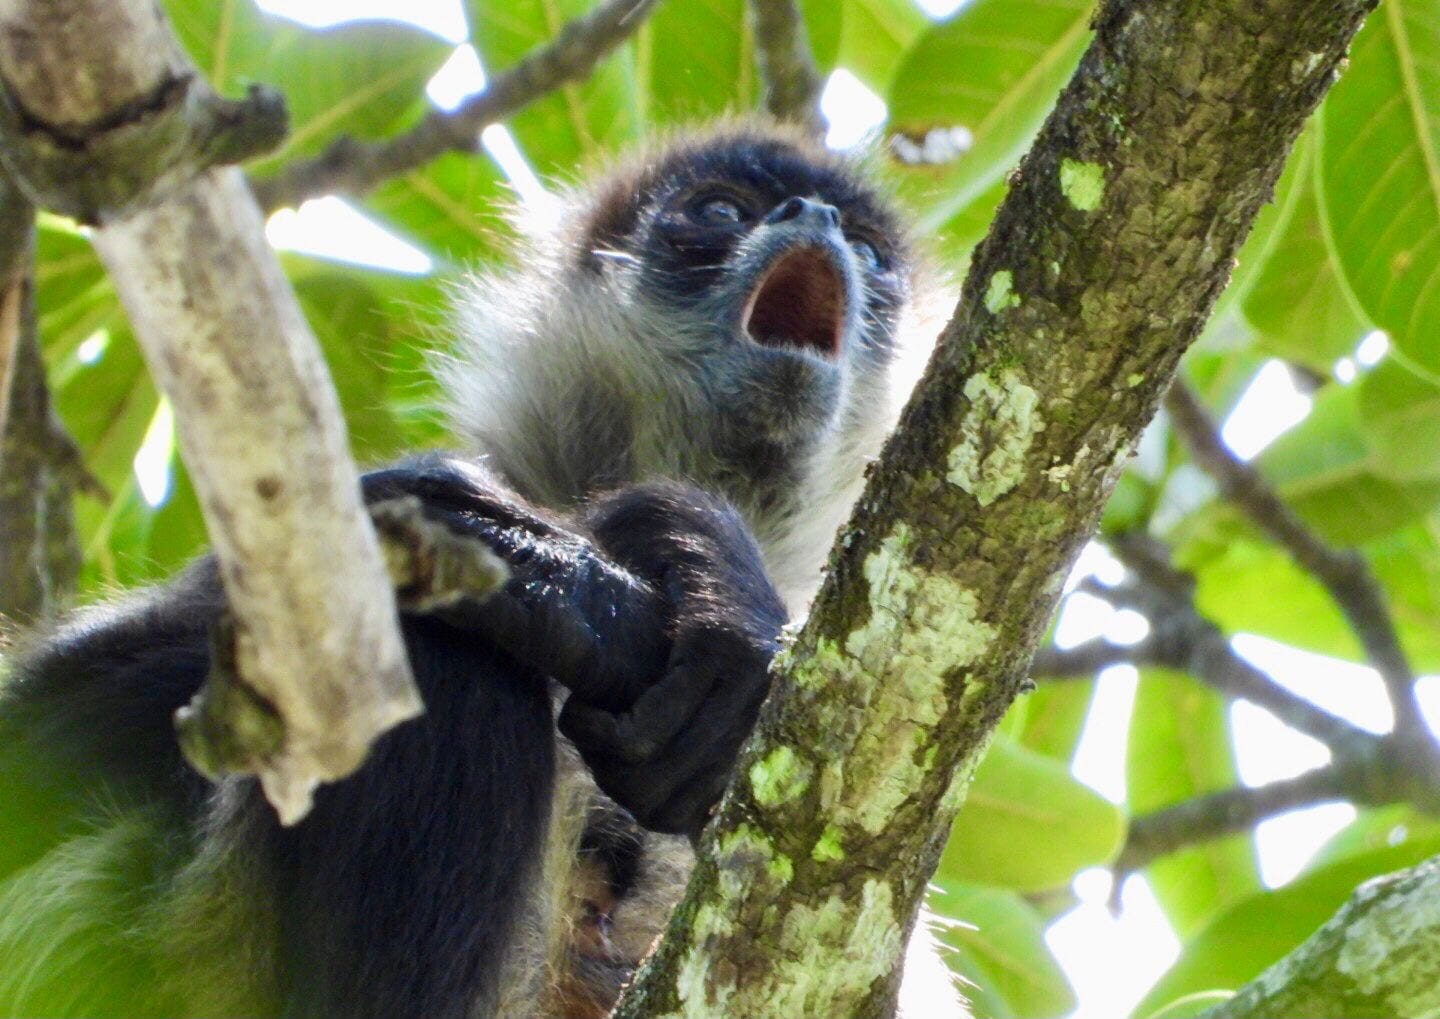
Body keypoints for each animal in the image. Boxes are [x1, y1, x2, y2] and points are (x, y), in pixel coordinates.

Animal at [0, 122, 960, 1018]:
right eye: (721, 211)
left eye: (871, 253)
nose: (816, 218)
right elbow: (34, 732)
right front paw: (578, 586)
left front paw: (696, 568)